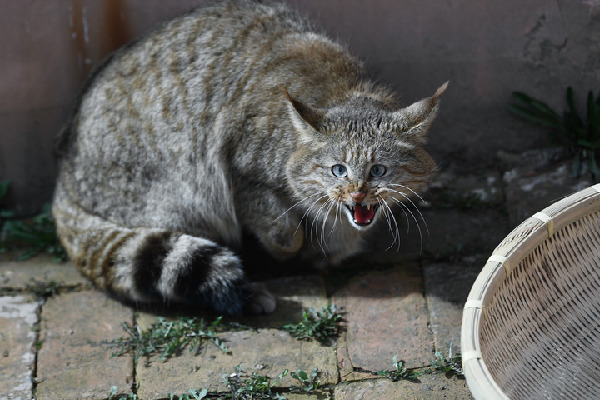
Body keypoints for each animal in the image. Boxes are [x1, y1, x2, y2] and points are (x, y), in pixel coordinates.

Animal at [52, 0, 446, 316]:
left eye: (378, 170)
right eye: (338, 169)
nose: (357, 193)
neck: (342, 91)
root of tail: (65, 170)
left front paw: (327, 245)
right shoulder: (238, 170)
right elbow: (283, 229)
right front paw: (292, 248)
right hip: (178, 187)